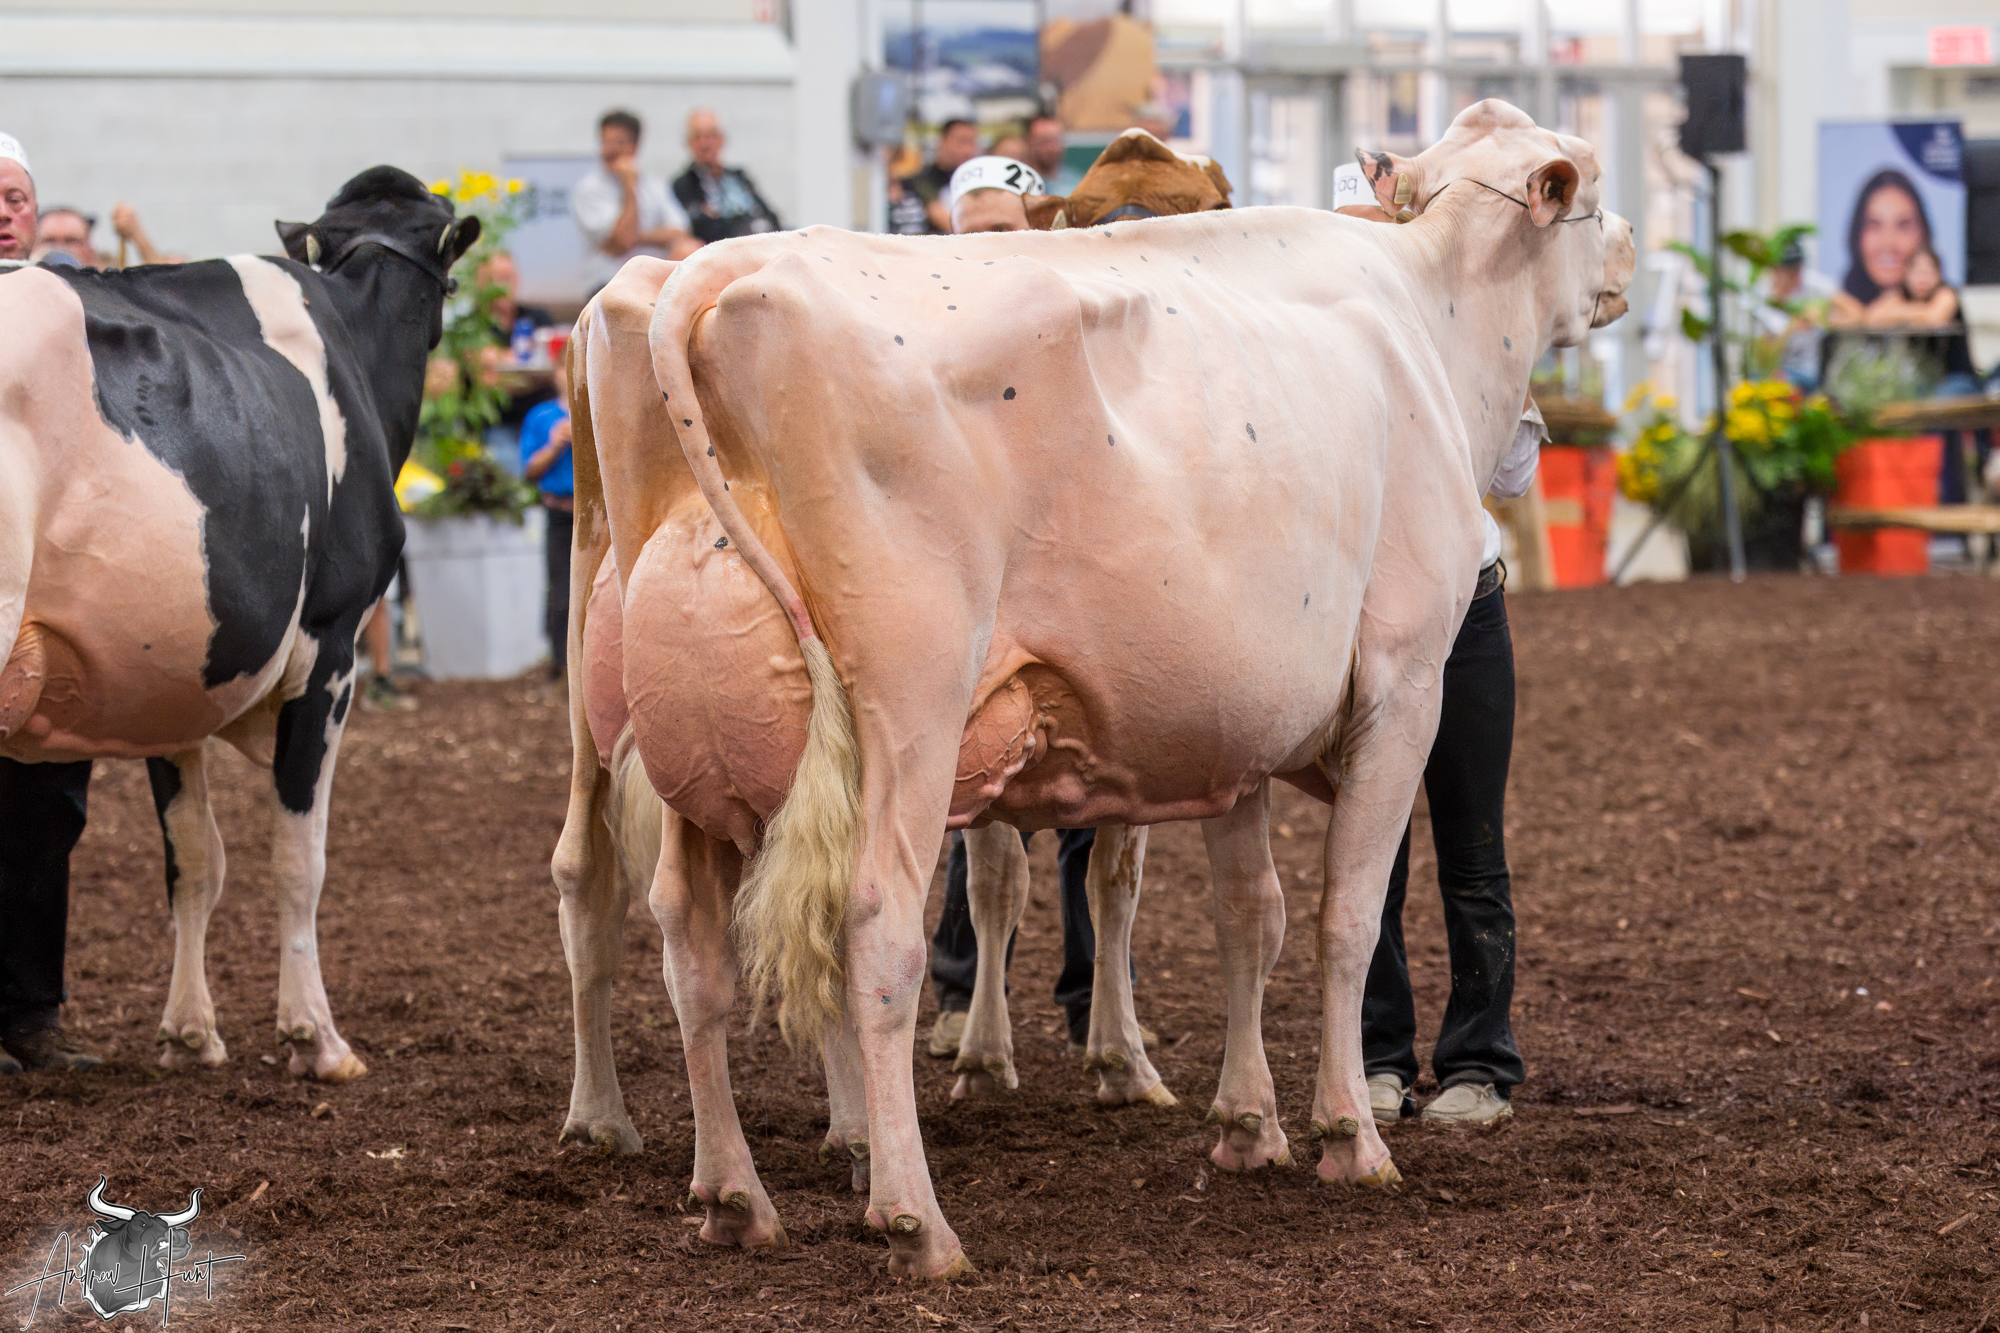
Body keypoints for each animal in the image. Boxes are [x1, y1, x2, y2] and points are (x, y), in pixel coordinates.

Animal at [0, 167, 480, 1078]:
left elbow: (194, 859)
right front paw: (315, 1036)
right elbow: (299, 857)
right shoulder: (332, 646)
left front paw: (189, 1030)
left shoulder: (167, 674)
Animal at [555, 99, 1631, 1277]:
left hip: (681, 749)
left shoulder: (1237, 728)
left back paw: (731, 1193)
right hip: (906, 714)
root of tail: (718, 270)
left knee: (680, 936)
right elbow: (1346, 916)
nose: (1629, 251)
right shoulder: (1403, 681)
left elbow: (1249, 917)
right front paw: (1349, 1133)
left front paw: (1245, 1125)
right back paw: (914, 1215)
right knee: (872, 926)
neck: (1428, 316)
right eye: (1587, 191)